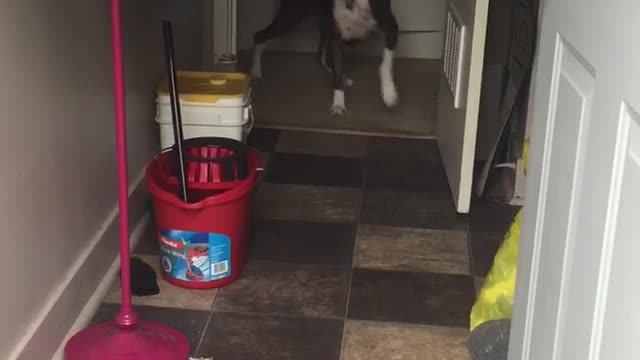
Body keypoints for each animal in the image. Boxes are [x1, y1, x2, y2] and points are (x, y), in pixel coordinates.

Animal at [249, 0, 396, 115]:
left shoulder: (391, 27)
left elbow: (385, 64)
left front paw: (389, 93)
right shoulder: (336, 36)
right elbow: (337, 69)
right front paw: (338, 102)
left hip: (317, 24)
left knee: (320, 55)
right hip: (290, 17)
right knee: (259, 36)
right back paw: (255, 71)